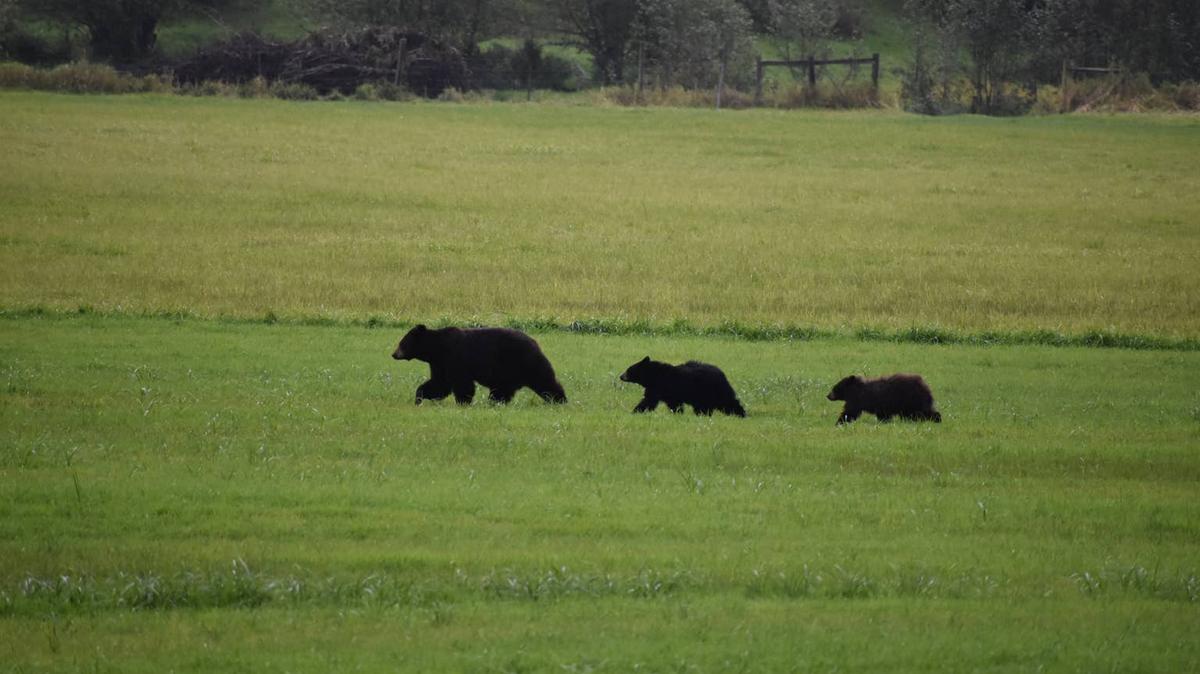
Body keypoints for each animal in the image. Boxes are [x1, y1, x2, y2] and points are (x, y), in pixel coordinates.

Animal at [391, 324, 567, 405]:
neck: (437, 349)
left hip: (524, 362)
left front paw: (462, 402)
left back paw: (560, 399)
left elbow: (462, 384)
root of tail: (535, 342)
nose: (393, 354)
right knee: (502, 390)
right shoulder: (440, 364)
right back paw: (495, 402)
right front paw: (419, 397)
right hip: (506, 373)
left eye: (402, 343)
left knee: (545, 381)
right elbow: (439, 383)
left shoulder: (455, 358)